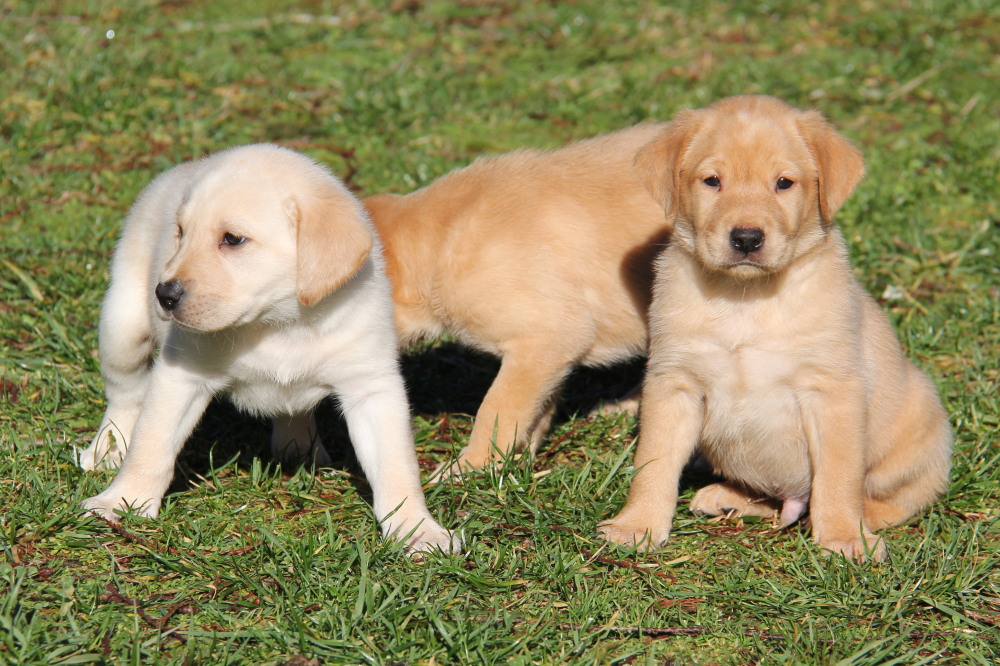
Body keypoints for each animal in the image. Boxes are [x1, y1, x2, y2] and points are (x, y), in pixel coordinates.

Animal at [78, 144, 460, 548]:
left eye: (232, 239)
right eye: (180, 233)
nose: (164, 295)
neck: (281, 324)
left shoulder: (372, 387)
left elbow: (396, 465)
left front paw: (416, 528)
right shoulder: (180, 377)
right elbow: (150, 444)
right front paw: (123, 500)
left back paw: (301, 451)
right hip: (123, 327)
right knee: (124, 396)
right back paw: (104, 451)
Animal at [364, 124, 668, 474]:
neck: (443, 241)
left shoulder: (547, 337)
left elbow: (497, 411)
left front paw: (470, 468)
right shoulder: (549, 355)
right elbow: (535, 411)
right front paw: (518, 461)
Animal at [596, 94, 948, 560]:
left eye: (784, 183)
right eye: (712, 181)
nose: (747, 238)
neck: (746, 299)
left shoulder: (832, 390)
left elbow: (839, 476)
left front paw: (843, 536)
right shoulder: (674, 384)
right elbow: (653, 462)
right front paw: (637, 525)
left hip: (921, 428)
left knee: (895, 498)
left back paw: (846, 521)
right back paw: (728, 497)